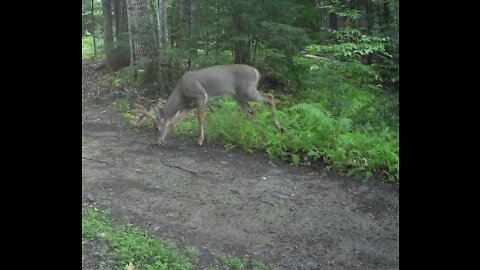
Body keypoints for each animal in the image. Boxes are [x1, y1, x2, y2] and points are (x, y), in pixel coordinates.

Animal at [133, 64, 284, 147]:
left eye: (156, 128)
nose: (156, 143)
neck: (181, 93)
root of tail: (256, 71)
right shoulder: (188, 105)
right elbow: (175, 122)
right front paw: (165, 138)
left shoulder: (200, 97)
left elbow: (200, 119)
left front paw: (200, 140)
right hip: (237, 95)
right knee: (250, 111)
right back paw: (244, 135)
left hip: (247, 91)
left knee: (270, 97)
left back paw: (278, 126)